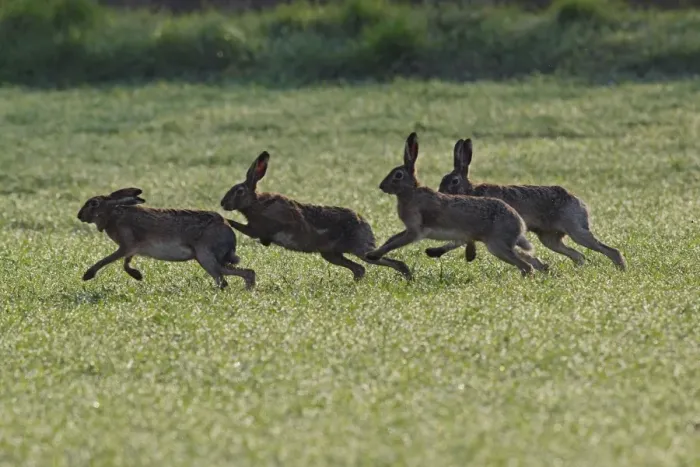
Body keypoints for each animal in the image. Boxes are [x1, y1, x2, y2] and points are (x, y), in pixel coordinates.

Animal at [77, 188, 256, 289]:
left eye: (94, 203)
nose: (79, 216)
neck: (112, 214)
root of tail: (227, 230)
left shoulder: (126, 246)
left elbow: (108, 260)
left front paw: (87, 275)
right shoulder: (131, 249)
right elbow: (126, 264)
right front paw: (138, 275)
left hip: (206, 257)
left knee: (224, 279)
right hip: (203, 258)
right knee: (243, 273)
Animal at [220, 151, 412, 282]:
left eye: (239, 191)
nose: (223, 203)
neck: (256, 203)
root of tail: (364, 223)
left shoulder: (258, 229)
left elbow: (239, 225)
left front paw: (225, 219)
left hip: (359, 250)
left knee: (389, 263)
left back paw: (408, 278)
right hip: (331, 254)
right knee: (359, 269)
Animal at [366, 132, 549, 276]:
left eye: (398, 175)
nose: (381, 186)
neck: (410, 193)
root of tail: (519, 223)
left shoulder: (415, 231)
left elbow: (395, 243)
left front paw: (373, 255)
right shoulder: (408, 228)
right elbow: (392, 239)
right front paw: (372, 253)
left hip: (498, 246)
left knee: (526, 266)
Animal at [432, 138, 627, 270]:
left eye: (454, 181)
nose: (440, 193)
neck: (470, 191)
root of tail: (579, 202)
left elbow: (459, 240)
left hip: (576, 231)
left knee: (609, 250)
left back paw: (620, 268)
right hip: (550, 239)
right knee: (577, 255)